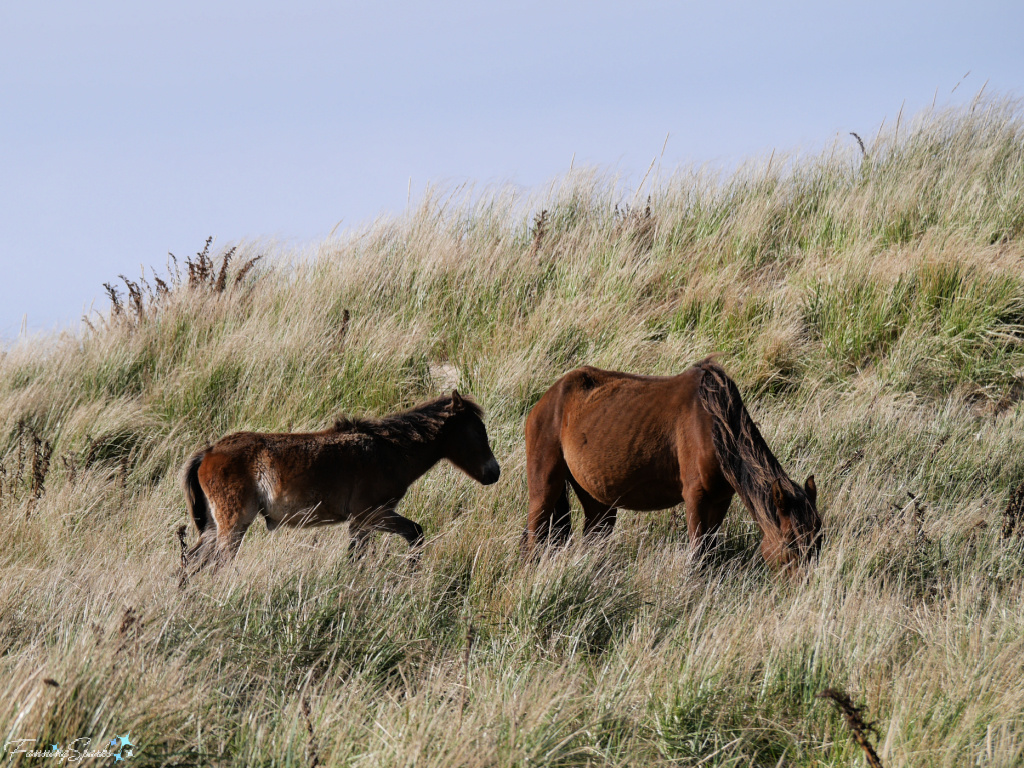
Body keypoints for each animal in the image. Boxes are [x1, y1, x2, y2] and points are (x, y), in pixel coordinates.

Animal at [185, 393, 503, 573]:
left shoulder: (365, 522)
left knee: (190, 564)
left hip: (214, 528)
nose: (494, 473)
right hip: (233, 526)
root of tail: (208, 452)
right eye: (477, 431)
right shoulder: (370, 516)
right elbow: (412, 535)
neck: (389, 449)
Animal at [524, 360, 819, 565]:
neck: (714, 427)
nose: (803, 587)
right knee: (533, 539)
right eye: (791, 544)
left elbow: (709, 550)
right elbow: (698, 555)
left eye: (818, 541)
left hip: (597, 501)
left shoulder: (720, 499)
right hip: (544, 491)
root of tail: (546, 399)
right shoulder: (696, 497)